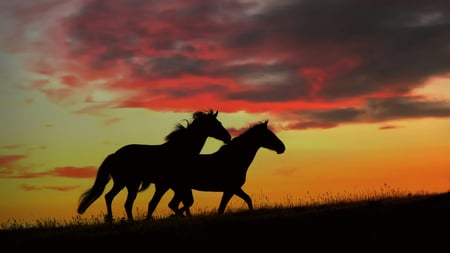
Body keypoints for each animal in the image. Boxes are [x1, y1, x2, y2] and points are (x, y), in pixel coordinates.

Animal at [76, 109, 230, 221]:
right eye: (216, 123)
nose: (228, 137)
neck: (179, 150)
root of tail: (114, 155)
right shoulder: (170, 184)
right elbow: (167, 203)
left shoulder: (171, 185)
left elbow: (160, 204)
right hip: (130, 183)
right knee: (124, 202)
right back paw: (123, 220)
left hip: (123, 183)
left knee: (111, 197)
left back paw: (113, 219)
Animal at [142, 119, 284, 216]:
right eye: (269, 135)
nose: (282, 147)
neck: (234, 159)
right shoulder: (231, 188)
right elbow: (224, 207)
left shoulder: (232, 189)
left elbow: (244, 200)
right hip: (173, 187)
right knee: (168, 204)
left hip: (178, 189)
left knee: (172, 204)